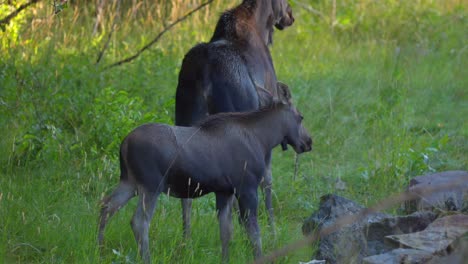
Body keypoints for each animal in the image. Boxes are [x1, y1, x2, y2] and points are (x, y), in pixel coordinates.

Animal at [98, 102, 310, 262]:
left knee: (106, 207)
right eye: (300, 117)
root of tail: (124, 144)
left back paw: (99, 249)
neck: (264, 140)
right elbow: (254, 233)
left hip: (130, 183)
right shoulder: (246, 188)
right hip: (150, 186)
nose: (309, 141)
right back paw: (145, 258)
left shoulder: (224, 191)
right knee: (139, 221)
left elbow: (226, 232)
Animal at [176, 0, 296, 237]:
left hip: (185, 119)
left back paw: (186, 238)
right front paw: (273, 230)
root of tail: (204, 72)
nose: (291, 15)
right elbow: (267, 180)